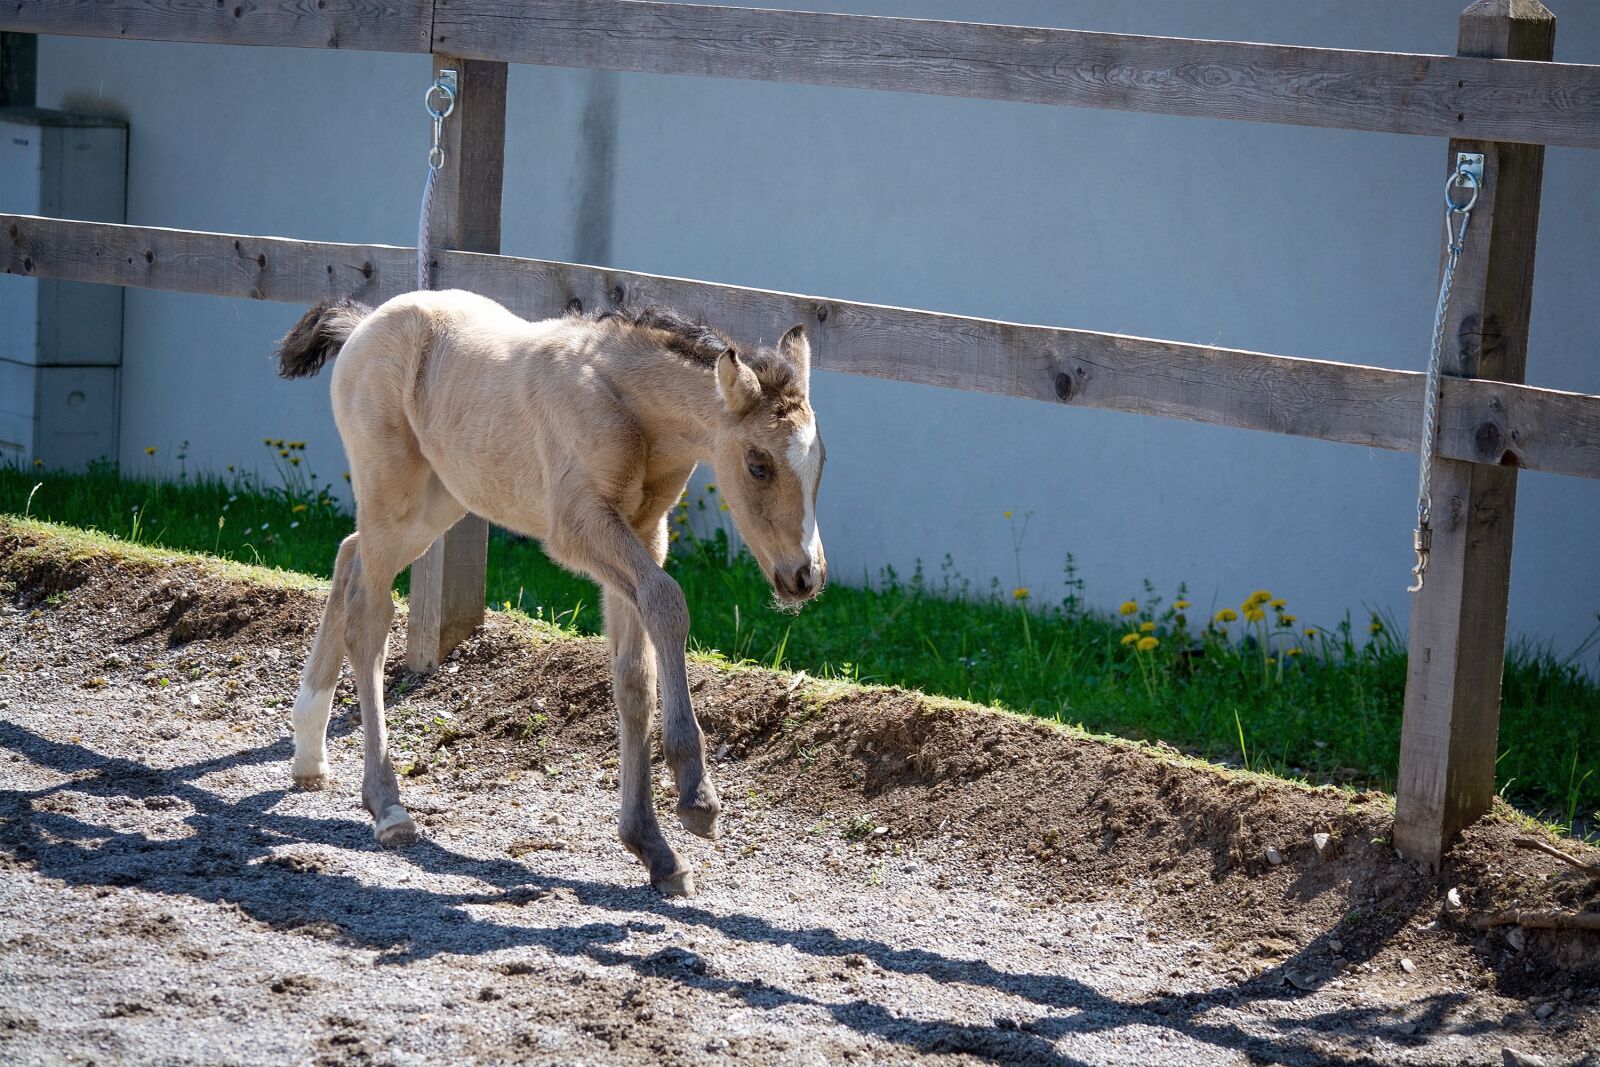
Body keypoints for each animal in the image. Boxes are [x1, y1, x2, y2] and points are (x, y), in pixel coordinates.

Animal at [274, 290, 826, 895]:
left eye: (819, 462)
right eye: (758, 465)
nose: (805, 577)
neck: (624, 401)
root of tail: (364, 323)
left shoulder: (644, 533)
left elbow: (634, 677)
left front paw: (653, 849)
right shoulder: (579, 527)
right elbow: (667, 601)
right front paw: (695, 796)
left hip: (441, 498)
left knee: (349, 555)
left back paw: (309, 751)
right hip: (392, 490)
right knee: (369, 619)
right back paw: (387, 806)